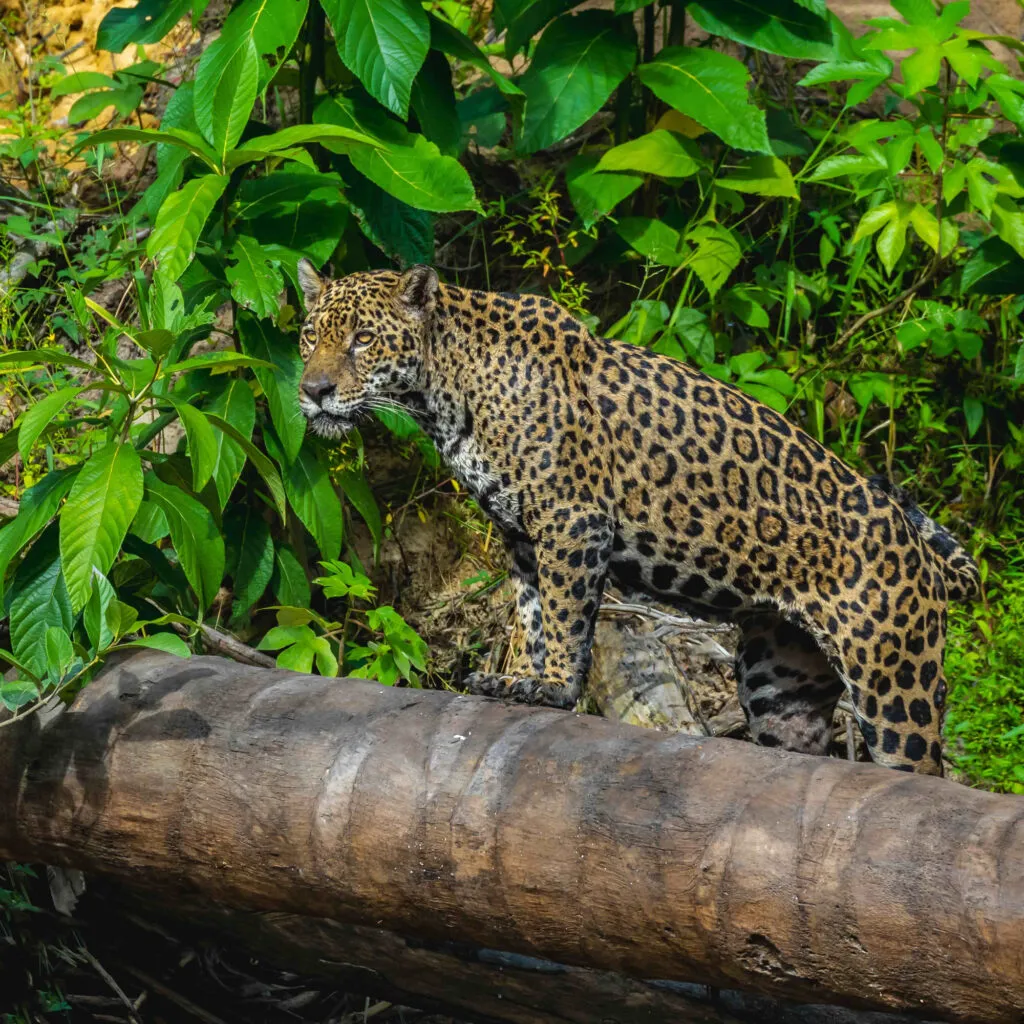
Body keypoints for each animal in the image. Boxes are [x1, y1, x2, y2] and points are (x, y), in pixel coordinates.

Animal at [294, 260, 981, 775]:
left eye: (362, 339)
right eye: (309, 335)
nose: (313, 391)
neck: (442, 392)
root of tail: (918, 546)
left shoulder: (572, 520)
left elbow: (565, 613)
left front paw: (553, 687)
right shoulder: (521, 533)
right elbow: (531, 611)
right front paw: (521, 680)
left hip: (895, 682)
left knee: (921, 768)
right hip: (779, 686)